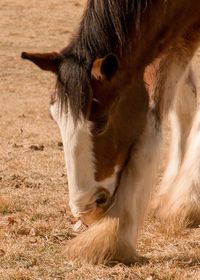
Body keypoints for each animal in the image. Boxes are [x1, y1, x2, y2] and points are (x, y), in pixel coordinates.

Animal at [21, 0, 200, 264]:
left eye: (102, 121)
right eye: (55, 118)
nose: (87, 209)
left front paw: (186, 202)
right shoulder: (177, 31)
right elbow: (158, 121)